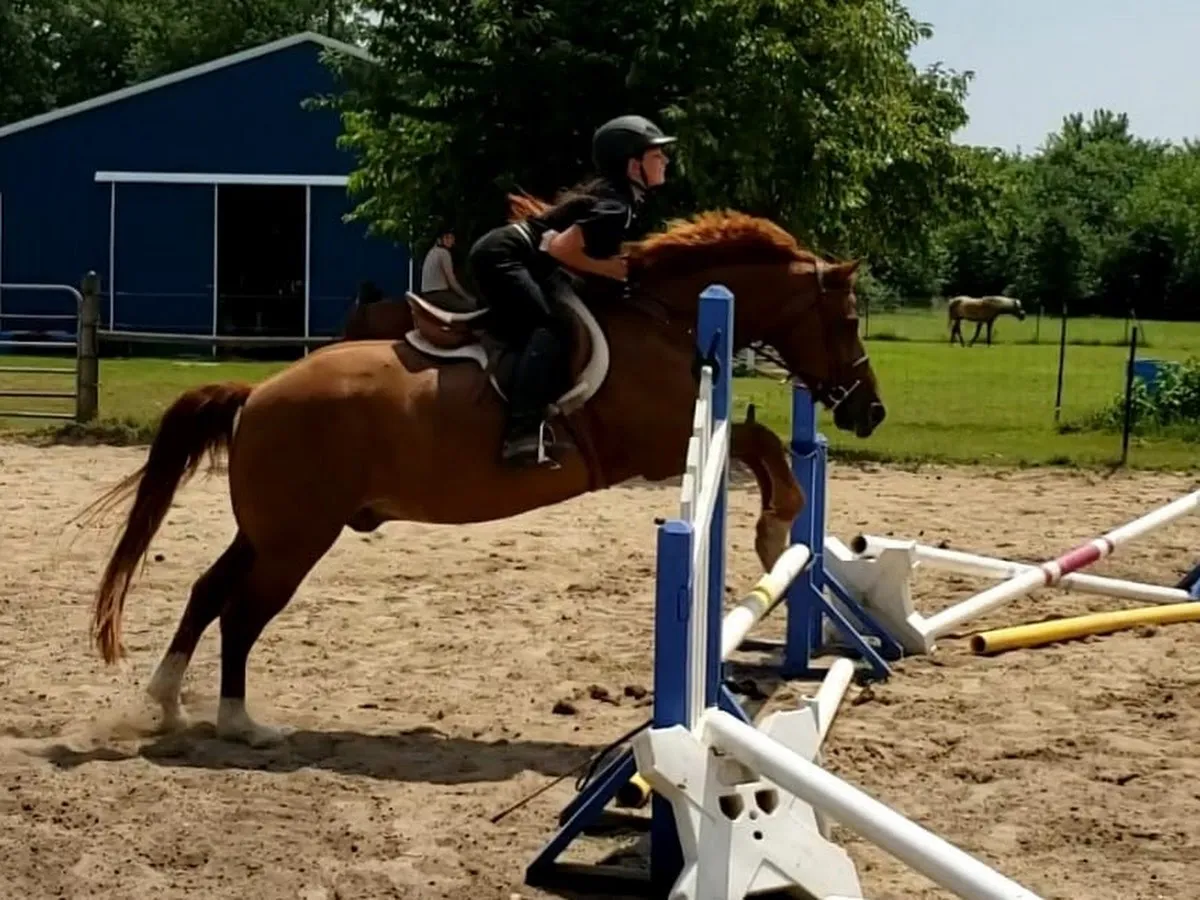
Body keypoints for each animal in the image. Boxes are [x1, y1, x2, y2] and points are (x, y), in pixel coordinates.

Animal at [83, 204, 886, 747]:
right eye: (848, 321)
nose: (870, 410)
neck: (670, 319)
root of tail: (256, 394)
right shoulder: (659, 447)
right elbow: (757, 440)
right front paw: (776, 526)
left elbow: (760, 440)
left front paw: (780, 530)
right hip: (296, 539)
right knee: (243, 612)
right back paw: (241, 722)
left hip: (271, 529)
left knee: (208, 591)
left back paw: (168, 703)